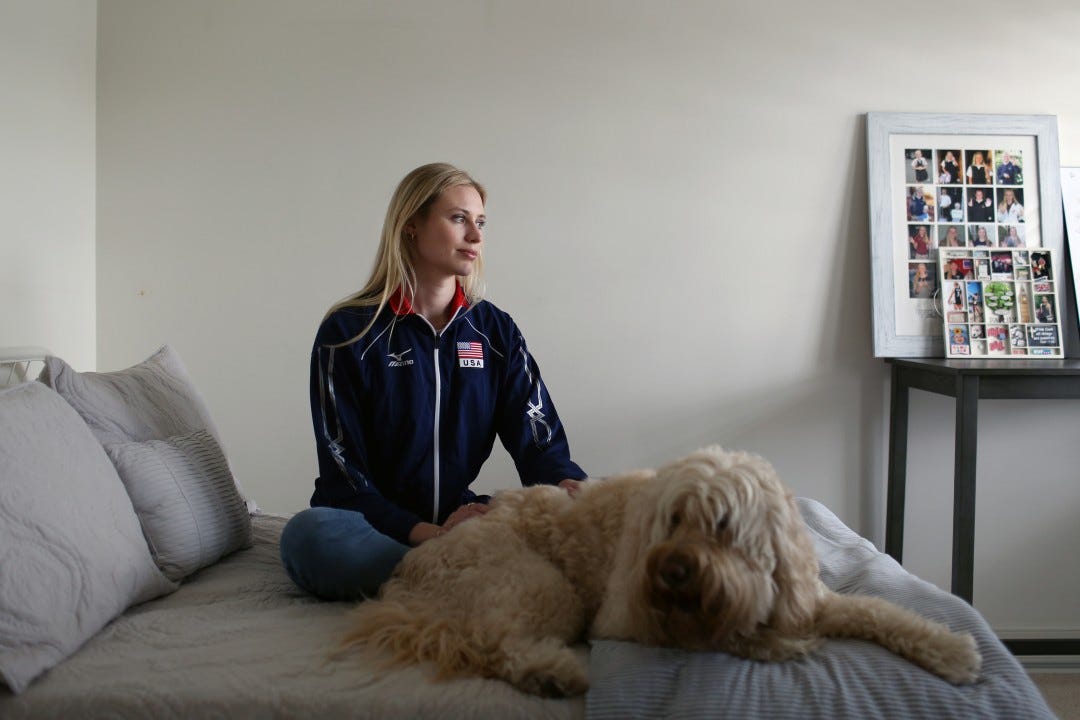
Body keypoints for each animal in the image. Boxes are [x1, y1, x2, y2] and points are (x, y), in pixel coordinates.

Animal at [341, 446, 984, 695]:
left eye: (722, 524)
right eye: (671, 520)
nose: (673, 570)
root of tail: (411, 570)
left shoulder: (812, 596)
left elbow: (877, 610)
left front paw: (951, 650)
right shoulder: (632, 620)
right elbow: (728, 634)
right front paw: (780, 644)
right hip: (538, 584)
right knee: (498, 643)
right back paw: (556, 673)